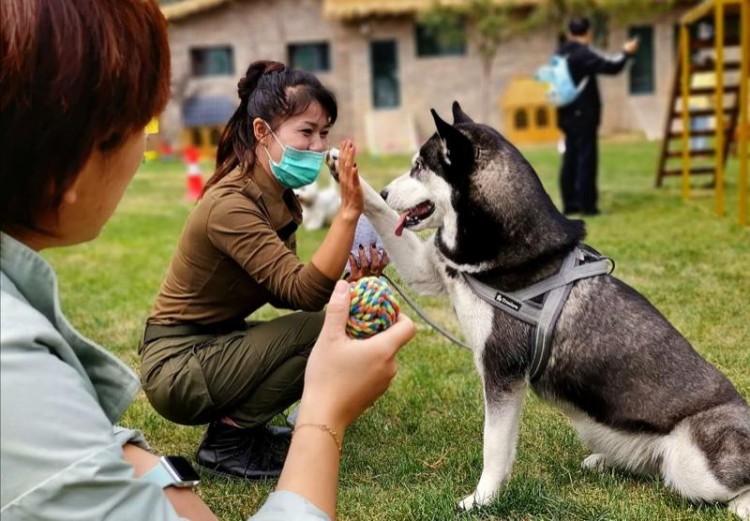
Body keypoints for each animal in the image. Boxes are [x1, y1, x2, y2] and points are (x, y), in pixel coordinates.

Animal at [328, 101, 750, 516]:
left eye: (418, 165)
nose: (387, 188)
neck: (501, 251)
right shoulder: (427, 272)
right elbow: (382, 214)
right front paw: (345, 172)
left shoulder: (501, 372)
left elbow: (493, 446)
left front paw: (482, 499)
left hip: (694, 465)